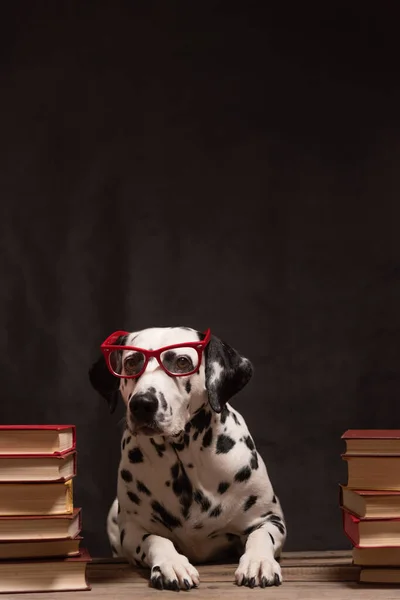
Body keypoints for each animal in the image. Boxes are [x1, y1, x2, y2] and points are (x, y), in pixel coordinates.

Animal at [89, 326, 286, 588]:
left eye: (182, 362)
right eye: (131, 362)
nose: (143, 403)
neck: (183, 458)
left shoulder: (269, 519)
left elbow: (261, 537)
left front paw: (259, 562)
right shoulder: (132, 531)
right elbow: (156, 540)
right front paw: (172, 564)